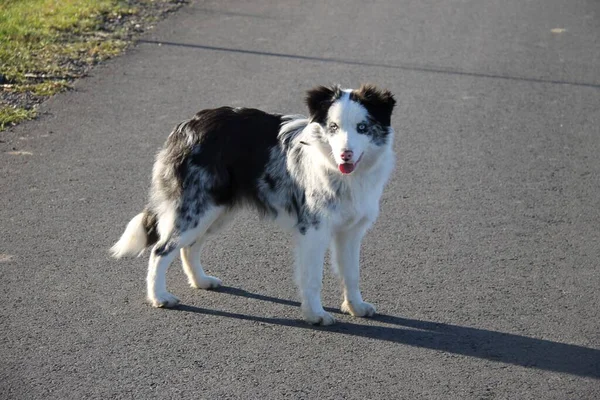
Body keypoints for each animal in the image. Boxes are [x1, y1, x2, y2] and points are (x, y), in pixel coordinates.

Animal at [110, 83, 396, 324]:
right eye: (333, 127)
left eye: (362, 127)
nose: (345, 155)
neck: (344, 175)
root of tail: (186, 126)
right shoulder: (314, 230)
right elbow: (313, 277)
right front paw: (316, 315)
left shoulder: (351, 231)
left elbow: (351, 273)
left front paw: (356, 307)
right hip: (196, 210)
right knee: (160, 250)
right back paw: (160, 297)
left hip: (217, 212)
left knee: (189, 248)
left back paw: (201, 281)